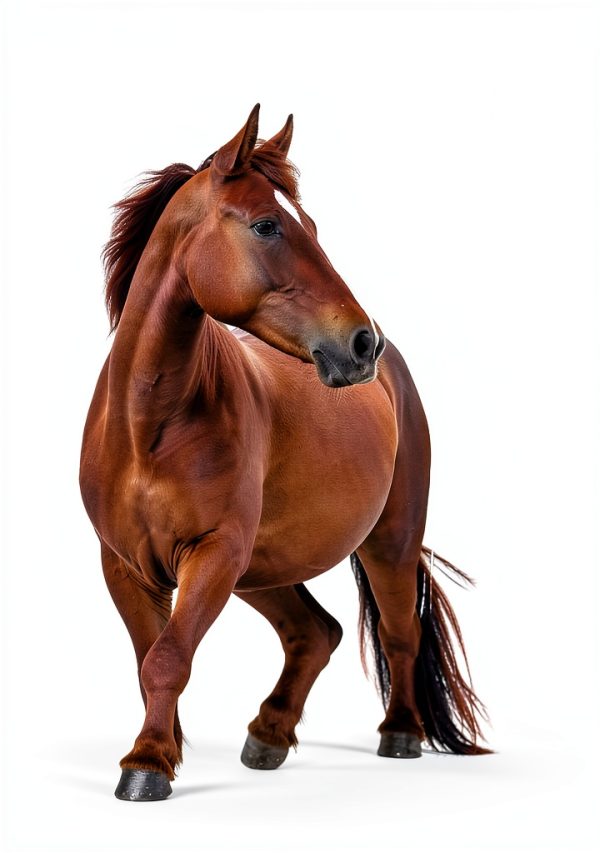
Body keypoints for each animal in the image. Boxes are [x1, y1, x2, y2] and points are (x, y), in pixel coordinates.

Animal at [80, 104, 490, 802]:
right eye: (267, 225)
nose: (362, 344)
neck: (147, 429)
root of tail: (394, 377)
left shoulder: (214, 550)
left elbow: (167, 659)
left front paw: (146, 767)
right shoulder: (127, 564)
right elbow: (149, 659)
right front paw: (163, 750)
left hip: (385, 541)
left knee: (399, 634)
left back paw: (400, 734)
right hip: (261, 566)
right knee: (314, 632)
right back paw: (268, 735)